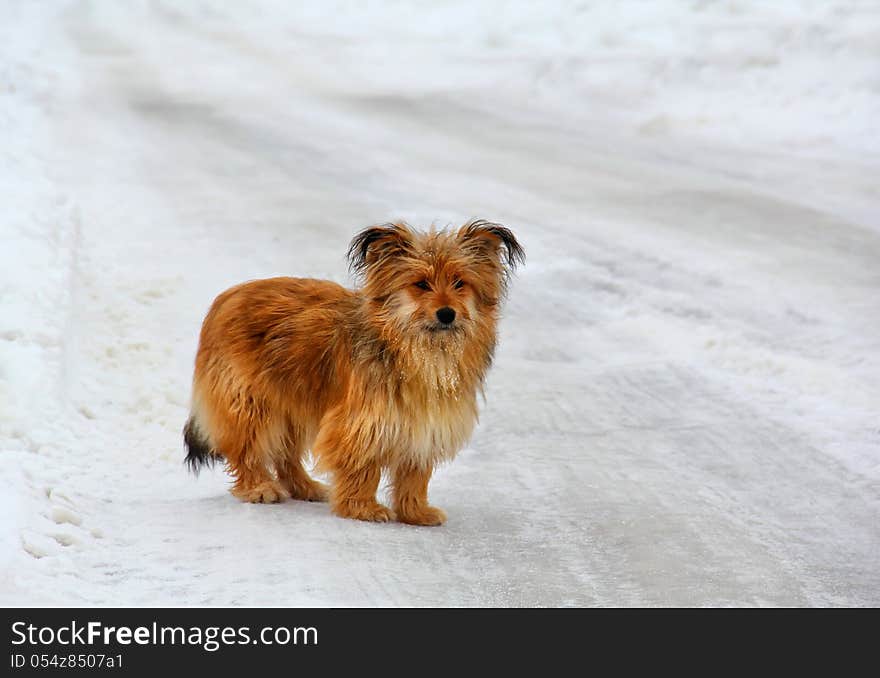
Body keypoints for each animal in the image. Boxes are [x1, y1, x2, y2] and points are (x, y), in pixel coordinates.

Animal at [181, 220, 520, 528]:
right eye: (421, 284)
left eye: (460, 282)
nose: (447, 314)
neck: (416, 349)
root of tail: (226, 298)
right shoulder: (364, 421)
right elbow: (363, 466)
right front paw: (362, 508)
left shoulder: (423, 425)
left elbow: (414, 475)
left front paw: (415, 512)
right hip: (251, 400)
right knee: (246, 447)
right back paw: (258, 488)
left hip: (293, 401)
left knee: (285, 454)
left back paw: (304, 486)